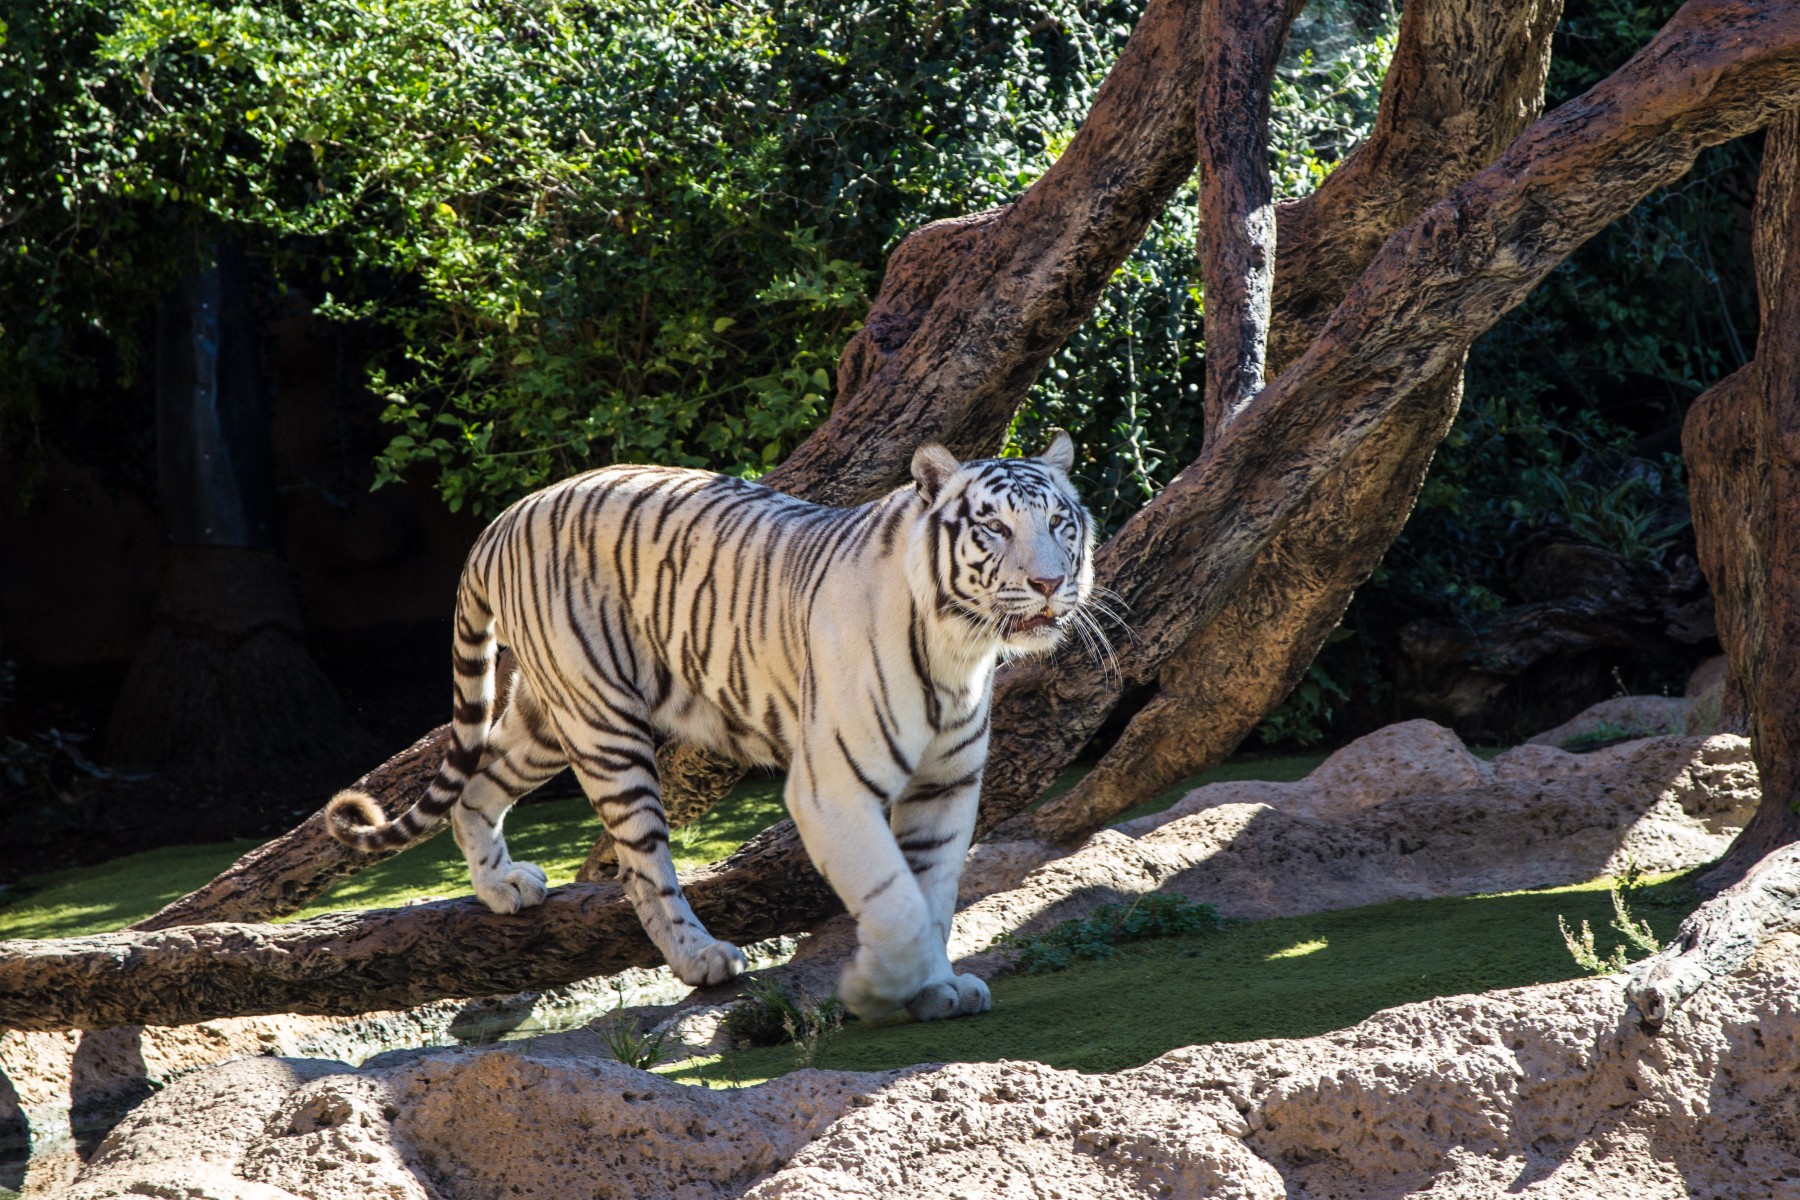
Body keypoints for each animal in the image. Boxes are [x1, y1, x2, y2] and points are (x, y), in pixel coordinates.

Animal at [326, 433, 1095, 1021]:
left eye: (1062, 524)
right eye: (995, 528)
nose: (1051, 583)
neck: (960, 649)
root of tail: (502, 518)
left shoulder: (946, 786)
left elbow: (932, 893)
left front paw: (935, 989)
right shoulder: (832, 789)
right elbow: (897, 900)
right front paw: (876, 989)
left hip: (550, 714)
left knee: (478, 788)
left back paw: (501, 888)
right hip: (605, 725)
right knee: (640, 868)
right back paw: (700, 958)